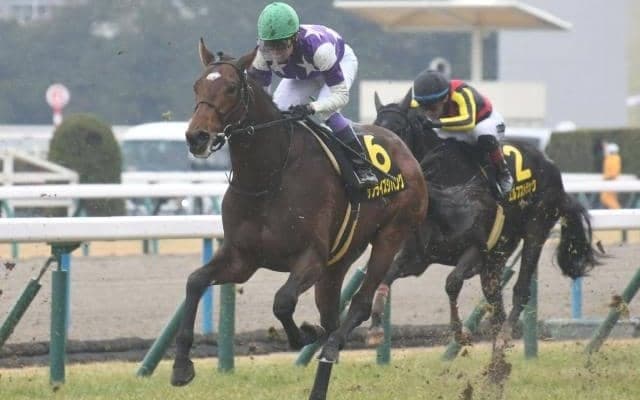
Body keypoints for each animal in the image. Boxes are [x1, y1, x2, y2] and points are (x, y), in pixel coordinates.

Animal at [172, 40, 428, 399]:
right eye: (197, 86)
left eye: (232, 88)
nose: (197, 136)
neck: (268, 176)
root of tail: (404, 149)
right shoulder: (242, 258)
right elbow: (195, 281)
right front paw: (182, 365)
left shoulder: (311, 257)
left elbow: (283, 301)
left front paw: (303, 334)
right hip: (340, 258)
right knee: (332, 315)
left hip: (391, 234)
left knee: (360, 304)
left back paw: (331, 343)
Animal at [366, 90, 600, 347]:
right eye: (375, 126)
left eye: (398, 128)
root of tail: (552, 168)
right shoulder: (418, 257)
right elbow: (387, 276)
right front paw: (375, 327)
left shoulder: (477, 250)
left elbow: (452, 282)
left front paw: (460, 332)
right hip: (500, 252)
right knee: (495, 301)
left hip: (536, 230)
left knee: (521, 289)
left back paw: (505, 335)